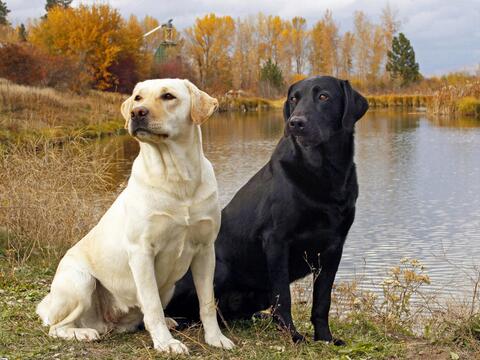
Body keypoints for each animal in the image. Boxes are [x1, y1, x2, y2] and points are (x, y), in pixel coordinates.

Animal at [36, 79, 234, 354]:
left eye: (168, 96)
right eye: (138, 97)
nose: (136, 112)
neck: (177, 177)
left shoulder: (205, 250)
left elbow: (207, 303)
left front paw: (216, 338)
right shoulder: (142, 252)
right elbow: (151, 305)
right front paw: (166, 343)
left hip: (169, 287)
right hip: (80, 280)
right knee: (57, 326)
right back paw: (83, 333)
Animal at [167, 75, 370, 344]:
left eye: (324, 96)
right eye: (294, 99)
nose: (296, 123)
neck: (324, 172)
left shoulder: (334, 247)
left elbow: (322, 300)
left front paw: (325, 337)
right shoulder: (276, 240)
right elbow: (284, 296)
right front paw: (293, 336)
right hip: (217, 269)